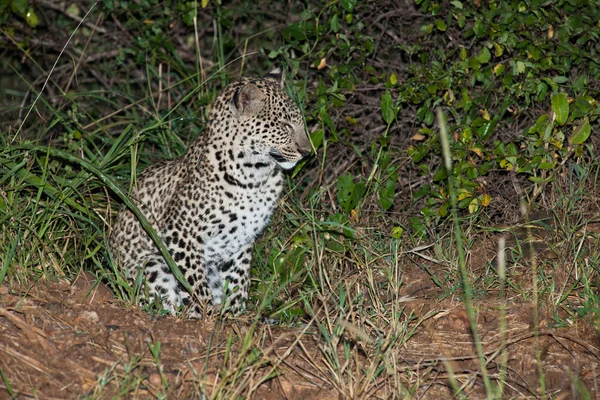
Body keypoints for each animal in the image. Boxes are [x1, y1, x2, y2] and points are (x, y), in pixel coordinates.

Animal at [109, 69, 312, 318]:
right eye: (284, 125)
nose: (307, 152)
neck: (256, 176)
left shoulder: (241, 241)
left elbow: (238, 280)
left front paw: (234, 314)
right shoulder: (181, 234)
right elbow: (193, 281)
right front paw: (206, 314)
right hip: (153, 264)